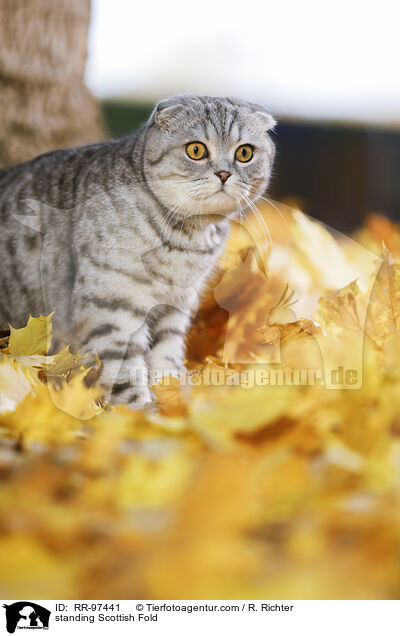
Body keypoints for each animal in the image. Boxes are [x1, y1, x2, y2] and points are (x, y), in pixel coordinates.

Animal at [0, 93, 276, 408]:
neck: (187, 239)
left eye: (244, 153)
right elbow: (123, 371)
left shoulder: (174, 308)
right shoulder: (114, 307)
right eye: (196, 150)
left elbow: (167, 359)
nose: (224, 173)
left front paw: (175, 399)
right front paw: (140, 412)